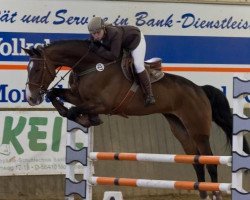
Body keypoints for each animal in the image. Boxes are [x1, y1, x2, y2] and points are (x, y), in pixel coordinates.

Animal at [23, 39, 248, 200]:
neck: (91, 65)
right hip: (180, 129)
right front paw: (80, 116)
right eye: (28, 69)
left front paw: (88, 120)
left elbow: (73, 111)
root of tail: (199, 89)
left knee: (209, 161)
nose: (32, 98)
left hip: (198, 129)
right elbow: (57, 95)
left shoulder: (102, 104)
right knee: (196, 161)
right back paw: (201, 192)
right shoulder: (79, 97)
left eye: (37, 69)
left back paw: (215, 193)